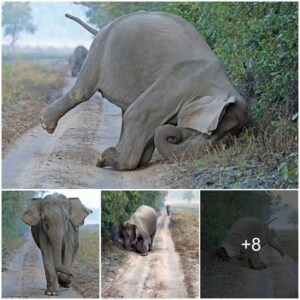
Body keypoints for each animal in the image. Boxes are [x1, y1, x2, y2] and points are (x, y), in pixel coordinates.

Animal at [41, 11, 248, 170]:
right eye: (211, 133)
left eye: (227, 138)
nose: (174, 136)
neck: (220, 85)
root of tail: (105, 27)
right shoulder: (177, 84)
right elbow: (139, 115)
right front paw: (104, 158)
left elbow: (149, 126)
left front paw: (116, 156)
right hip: (101, 48)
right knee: (83, 91)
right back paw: (46, 124)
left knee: (125, 110)